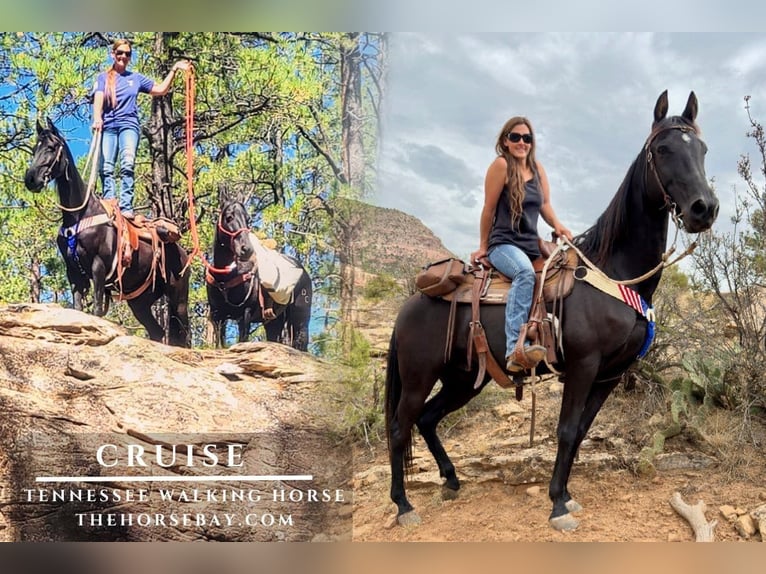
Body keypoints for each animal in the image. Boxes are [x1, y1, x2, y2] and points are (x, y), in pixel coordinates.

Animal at [24, 118, 191, 347]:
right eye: (34, 149)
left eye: (50, 147)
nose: (31, 179)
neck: (79, 216)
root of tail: (183, 252)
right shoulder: (74, 273)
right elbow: (79, 310)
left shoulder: (98, 268)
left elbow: (95, 311)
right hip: (140, 302)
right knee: (156, 331)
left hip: (178, 296)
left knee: (184, 334)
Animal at [206, 199, 313, 351]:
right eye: (229, 217)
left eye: (248, 220)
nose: (246, 249)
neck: (226, 277)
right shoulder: (217, 316)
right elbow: (220, 345)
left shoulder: (245, 314)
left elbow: (242, 341)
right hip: (274, 321)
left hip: (300, 319)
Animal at [385, 91, 720, 532]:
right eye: (663, 150)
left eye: (702, 149)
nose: (704, 208)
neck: (614, 273)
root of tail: (411, 302)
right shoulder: (582, 365)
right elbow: (565, 430)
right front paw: (557, 505)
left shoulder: (609, 374)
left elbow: (580, 432)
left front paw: (567, 494)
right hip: (419, 375)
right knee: (399, 427)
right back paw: (404, 504)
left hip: (463, 378)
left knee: (426, 419)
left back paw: (452, 480)